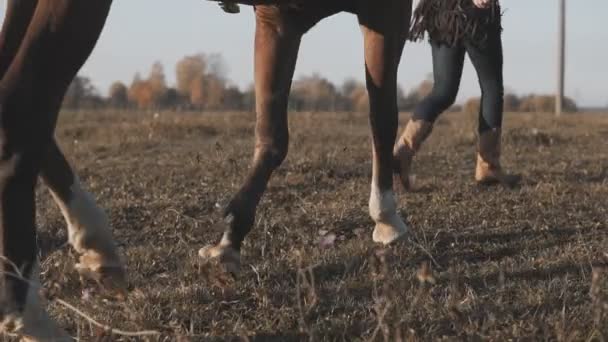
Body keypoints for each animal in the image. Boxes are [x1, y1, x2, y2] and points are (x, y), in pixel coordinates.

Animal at [0, 0, 414, 338]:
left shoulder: (281, 18)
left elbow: (272, 137)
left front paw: (230, 239)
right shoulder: (384, 11)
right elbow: (383, 118)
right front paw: (386, 217)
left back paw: (95, 244)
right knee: (21, 109)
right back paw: (34, 320)